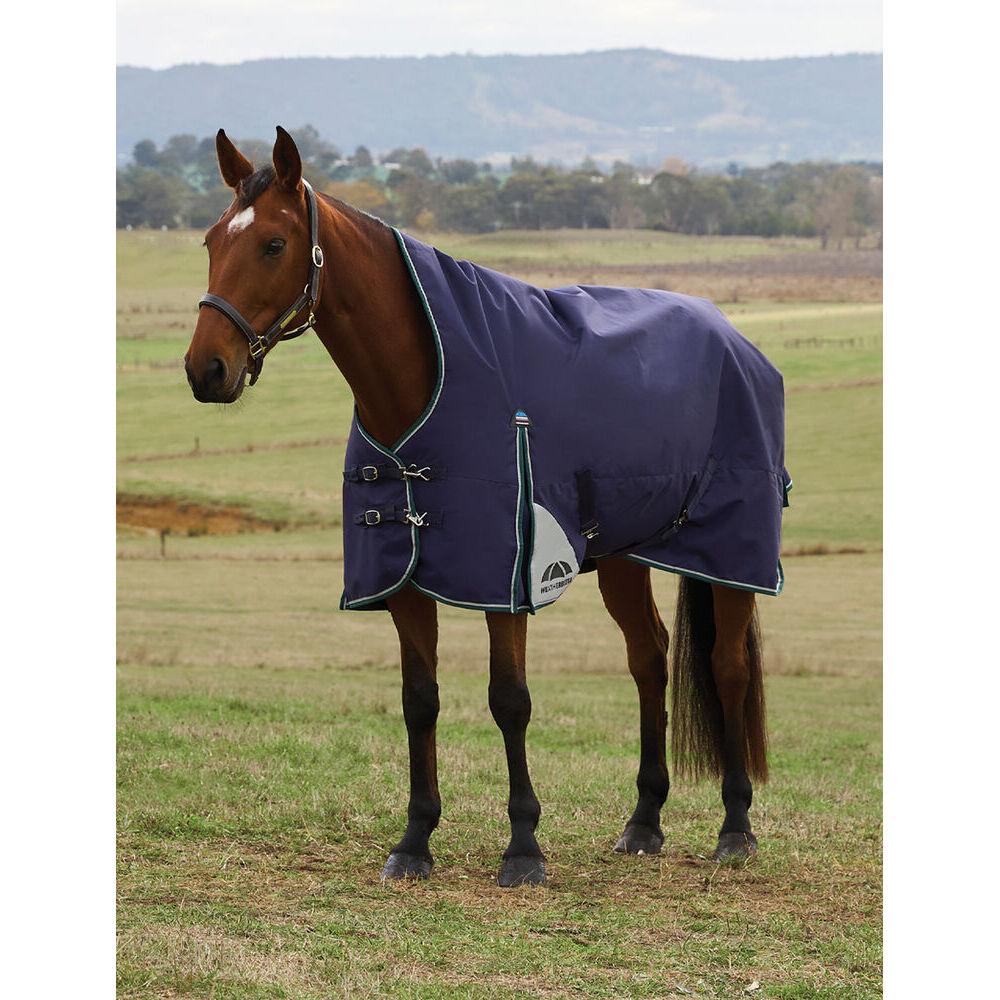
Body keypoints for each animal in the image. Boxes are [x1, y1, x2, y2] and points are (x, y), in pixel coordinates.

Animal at [185, 127, 778, 887]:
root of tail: (733, 338)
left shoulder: (507, 579)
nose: (206, 369)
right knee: (649, 659)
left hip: (731, 553)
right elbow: (420, 701)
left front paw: (523, 847)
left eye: (274, 244)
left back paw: (736, 828)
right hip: (623, 555)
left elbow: (510, 701)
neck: (426, 382)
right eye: (210, 241)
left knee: (728, 668)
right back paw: (644, 821)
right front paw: (414, 841)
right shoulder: (405, 579)